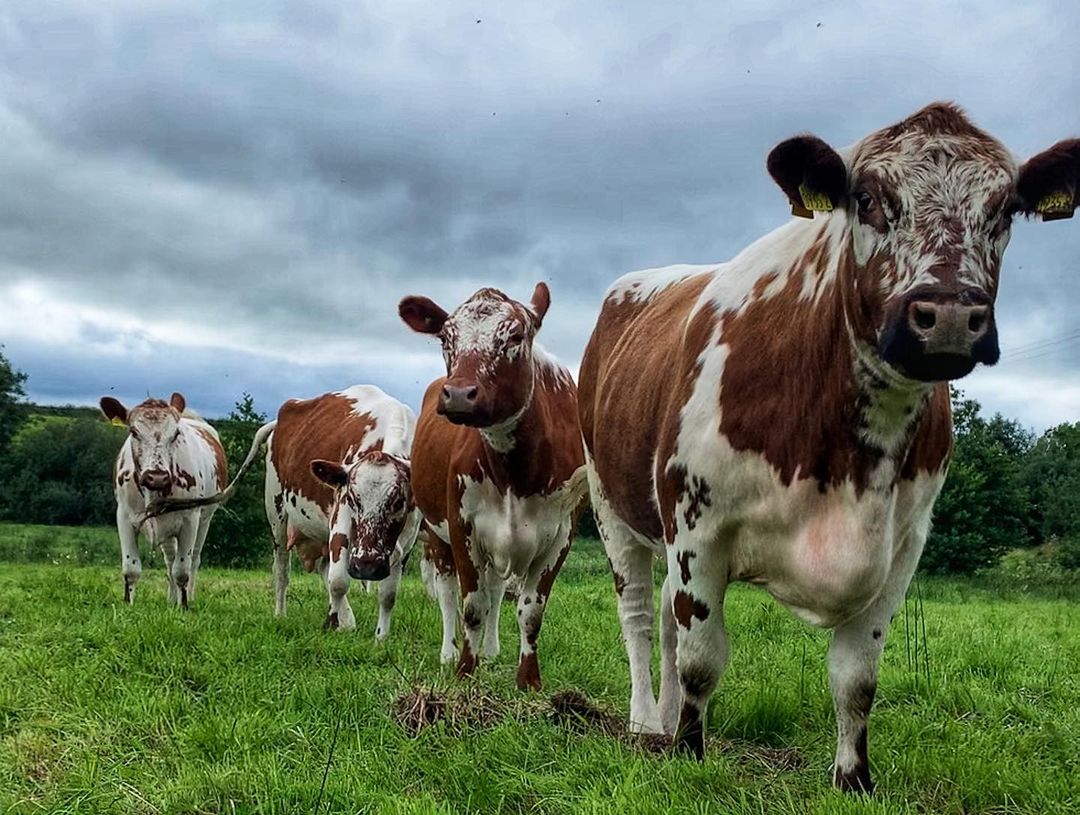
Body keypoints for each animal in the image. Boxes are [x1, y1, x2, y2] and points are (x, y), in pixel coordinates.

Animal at [102, 392, 226, 608]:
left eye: (175, 434)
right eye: (134, 431)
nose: (157, 477)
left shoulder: (190, 519)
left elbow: (182, 570)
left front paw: (183, 607)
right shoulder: (124, 517)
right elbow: (131, 567)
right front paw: (128, 604)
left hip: (205, 519)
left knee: (194, 559)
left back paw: (186, 597)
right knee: (170, 559)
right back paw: (171, 598)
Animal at [399, 282, 587, 690]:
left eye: (514, 335)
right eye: (446, 338)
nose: (458, 394)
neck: (515, 473)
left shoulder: (560, 537)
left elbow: (530, 611)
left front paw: (528, 680)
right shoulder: (462, 526)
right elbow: (472, 606)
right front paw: (464, 672)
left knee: (497, 591)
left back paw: (490, 650)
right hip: (436, 533)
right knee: (448, 592)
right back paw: (450, 652)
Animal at [583, 103, 1080, 798]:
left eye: (1006, 208)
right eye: (866, 198)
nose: (951, 316)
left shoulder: (901, 547)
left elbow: (856, 676)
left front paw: (854, 776)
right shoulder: (697, 523)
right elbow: (703, 657)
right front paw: (688, 755)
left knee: (664, 623)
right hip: (612, 508)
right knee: (637, 617)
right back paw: (647, 724)